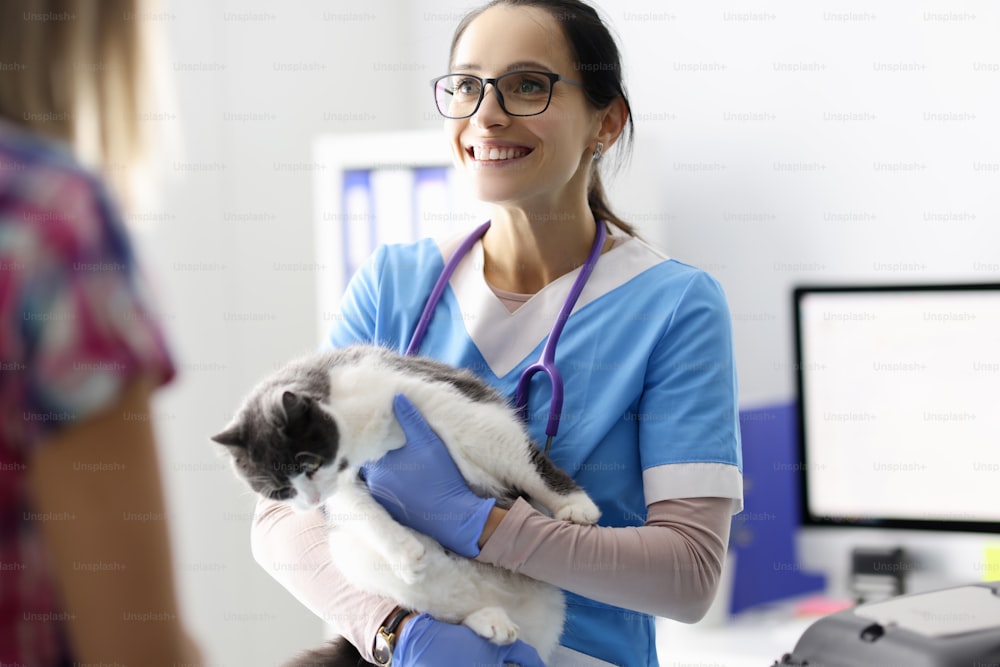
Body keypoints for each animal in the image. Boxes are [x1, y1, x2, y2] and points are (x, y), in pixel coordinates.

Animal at [211, 344, 596, 667]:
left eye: (310, 464)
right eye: (279, 491)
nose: (311, 501)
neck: (357, 437)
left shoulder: (439, 401)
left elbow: (516, 458)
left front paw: (574, 504)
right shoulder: (344, 488)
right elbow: (360, 511)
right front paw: (403, 552)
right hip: (355, 558)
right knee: (448, 609)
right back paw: (487, 622)